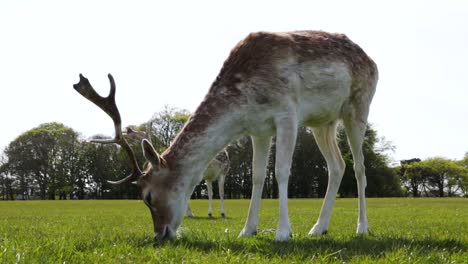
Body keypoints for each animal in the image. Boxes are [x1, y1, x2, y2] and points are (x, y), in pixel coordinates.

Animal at [74, 29, 380, 241]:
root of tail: (373, 61)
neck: (245, 103)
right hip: (322, 122)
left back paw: (362, 227)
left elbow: (281, 171)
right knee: (337, 166)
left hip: (358, 107)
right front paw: (248, 230)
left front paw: (283, 232)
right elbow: (257, 177)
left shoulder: (288, 114)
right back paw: (318, 228)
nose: (159, 235)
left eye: (148, 196)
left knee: (360, 167)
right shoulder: (259, 129)